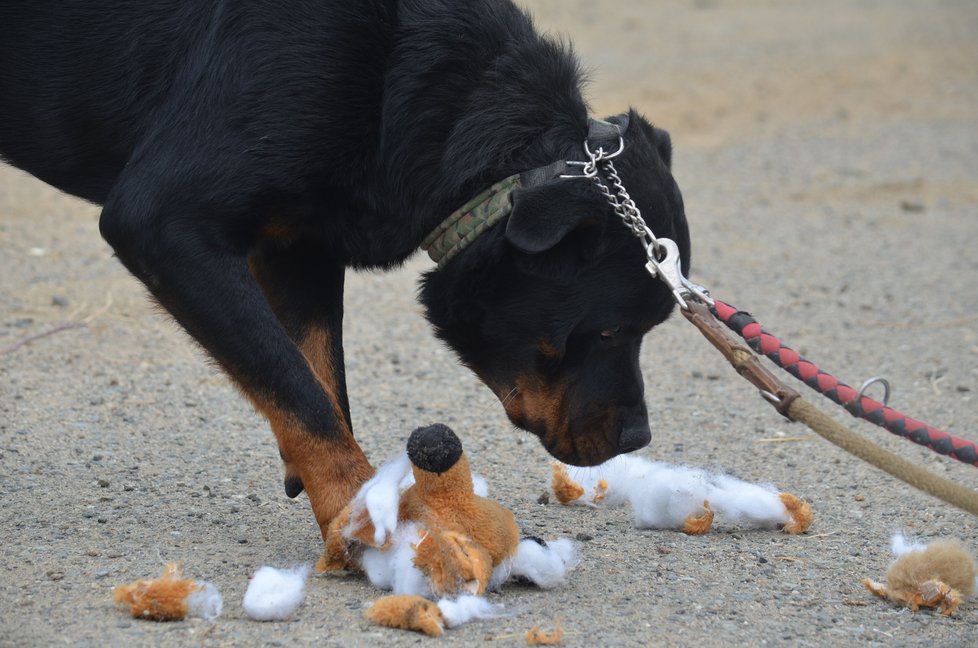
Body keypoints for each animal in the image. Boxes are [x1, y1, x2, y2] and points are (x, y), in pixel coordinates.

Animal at [0, 1, 688, 540]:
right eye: (606, 333)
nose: (638, 437)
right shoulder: (163, 223)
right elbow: (299, 388)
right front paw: (368, 519)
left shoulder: (302, 242)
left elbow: (315, 374)